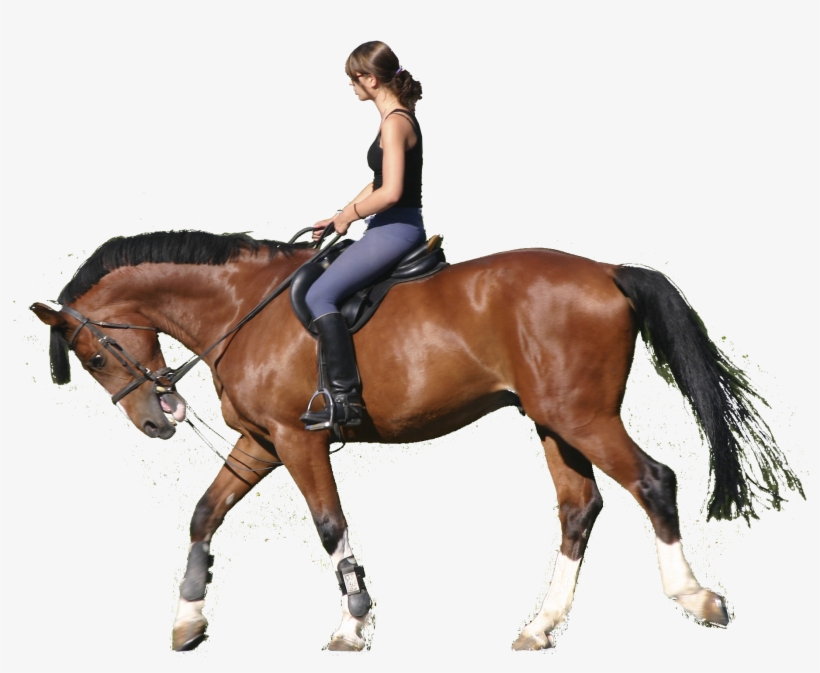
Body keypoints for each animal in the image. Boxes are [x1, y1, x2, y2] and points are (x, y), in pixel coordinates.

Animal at [30, 230, 802, 652]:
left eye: (94, 356)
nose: (156, 420)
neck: (241, 307)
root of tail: (607, 270)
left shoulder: (297, 440)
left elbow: (330, 525)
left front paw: (354, 625)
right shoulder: (262, 441)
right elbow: (203, 513)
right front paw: (189, 618)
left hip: (582, 416)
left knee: (652, 481)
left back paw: (696, 598)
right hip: (554, 421)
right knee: (579, 508)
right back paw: (541, 625)